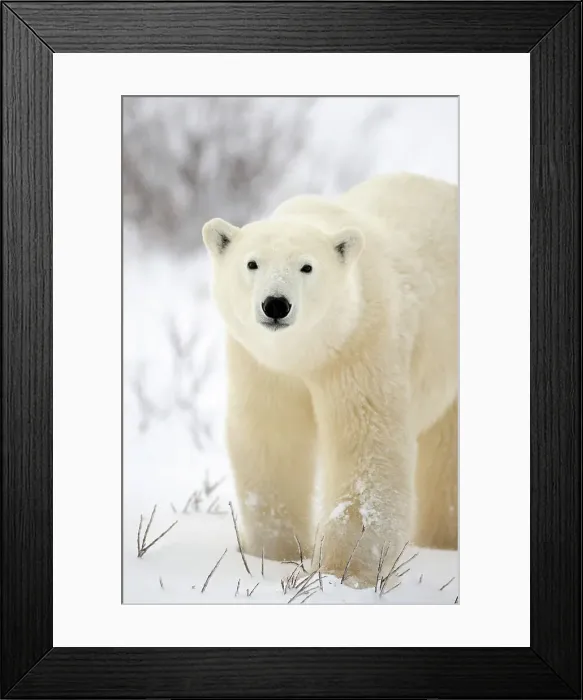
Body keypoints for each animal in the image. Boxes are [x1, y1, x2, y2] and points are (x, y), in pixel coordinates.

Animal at [202, 172, 458, 588]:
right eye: (252, 263)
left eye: (307, 267)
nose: (276, 304)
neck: (307, 354)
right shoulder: (262, 366)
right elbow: (272, 440)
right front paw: (274, 554)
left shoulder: (361, 344)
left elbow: (365, 448)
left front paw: (344, 571)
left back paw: (443, 540)